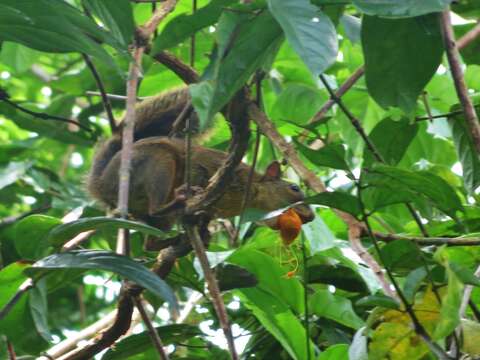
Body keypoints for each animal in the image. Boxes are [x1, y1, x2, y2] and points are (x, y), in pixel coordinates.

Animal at [87, 87, 316, 238]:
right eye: (294, 188)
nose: (311, 217)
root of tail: (101, 183)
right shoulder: (211, 169)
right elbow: (198, 172)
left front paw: (203, 229)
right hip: (157, 161)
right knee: (155, 208)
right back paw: (179, 199)